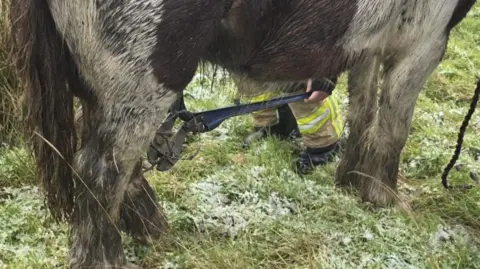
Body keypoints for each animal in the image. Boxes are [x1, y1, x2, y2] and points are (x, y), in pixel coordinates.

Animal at [9, 0, 478, 266]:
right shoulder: (426, 40)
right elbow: (395, 123)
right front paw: (385, 198)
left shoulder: (370, 44)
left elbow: (363, 109)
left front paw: (352, 181)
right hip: (146, 73)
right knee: (101, 170)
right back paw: (107, 259)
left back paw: (151, 227)